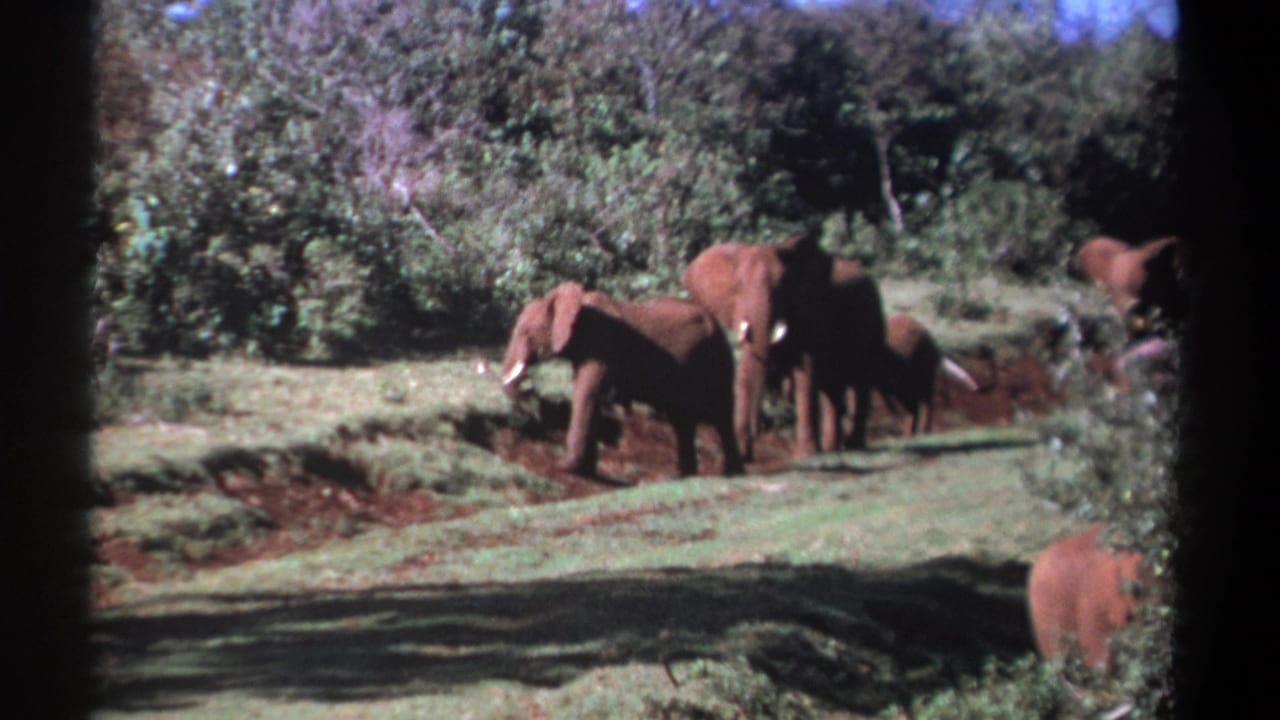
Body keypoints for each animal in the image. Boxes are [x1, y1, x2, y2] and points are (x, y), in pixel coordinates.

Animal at [499, 282, 744, 479]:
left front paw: (566, 468)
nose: (525, 393)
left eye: (526, 332)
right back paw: (684, 476)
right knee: (682, 420)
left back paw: (731, 474)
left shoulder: (603, 343)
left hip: (717, 359)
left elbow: (587, 392)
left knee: (720, 415)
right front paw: (584, 470)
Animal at [682, 235, 887, 459]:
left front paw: (806, 455)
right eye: (738, 286)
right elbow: (745, 370)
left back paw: (852, 445)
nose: (758, 431)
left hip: (873, 321)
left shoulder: (809, 314)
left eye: (781, 286)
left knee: (861, 383)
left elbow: (806, 374)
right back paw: (833, 448)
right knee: (832, 388)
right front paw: (743, 453)